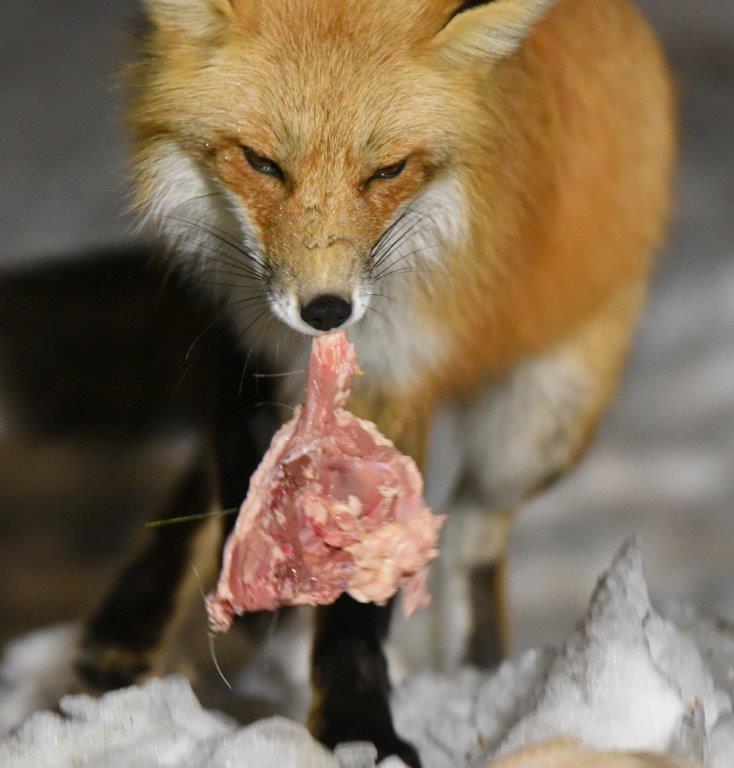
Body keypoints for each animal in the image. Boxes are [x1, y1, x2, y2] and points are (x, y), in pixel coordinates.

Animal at [73, 0, 676, 764]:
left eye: (387, 171)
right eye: (263, 163)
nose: (327, 310)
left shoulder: (396, 374)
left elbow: (360, 606)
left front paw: (358, 731)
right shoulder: (238, 327)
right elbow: (234, 454)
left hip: (535, 428)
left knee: (475, 527)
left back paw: (477, 668)